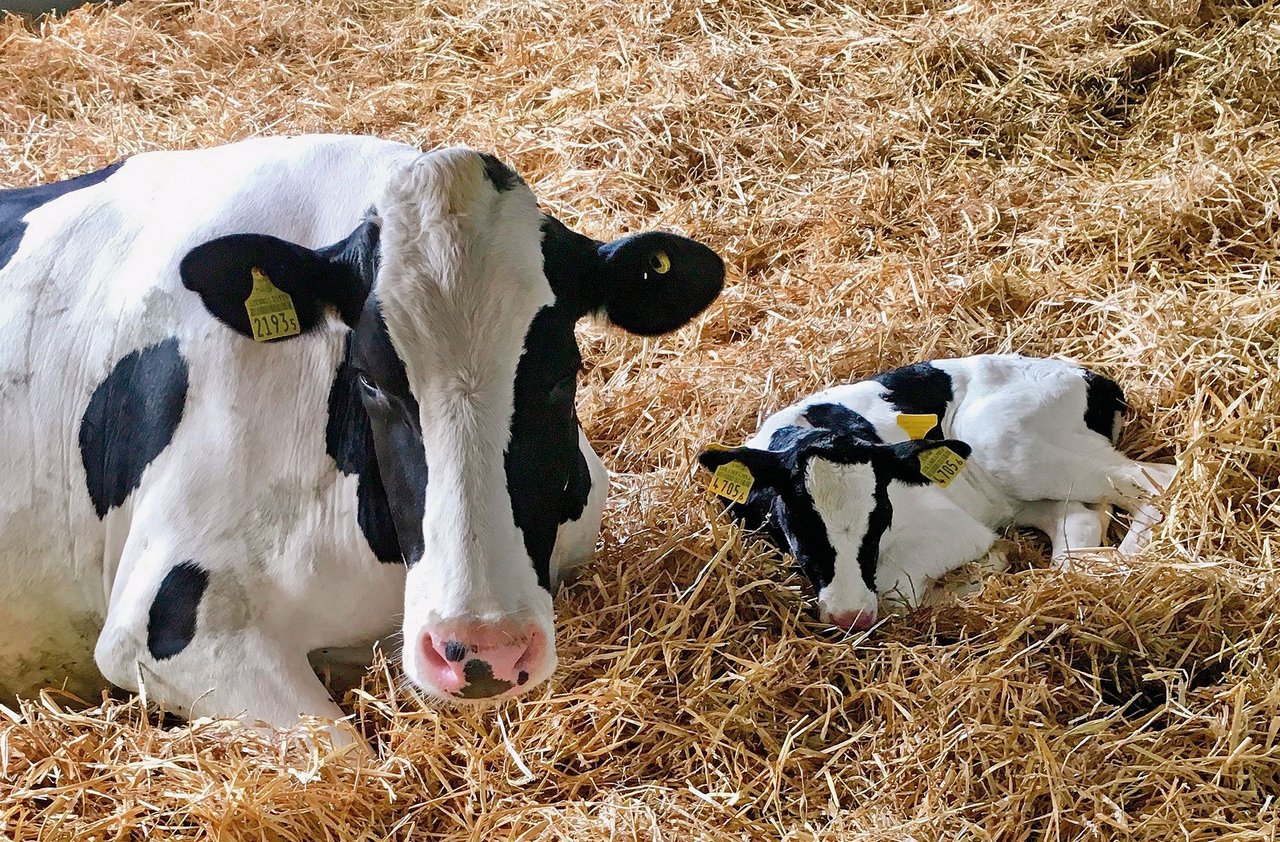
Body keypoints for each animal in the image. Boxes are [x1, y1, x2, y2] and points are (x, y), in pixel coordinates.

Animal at [698, 355, 1176, 630]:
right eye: (800, 526)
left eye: (881, 518)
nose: (851, 616)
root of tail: (1092, 377)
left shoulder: (950, 527)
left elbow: (895, 591)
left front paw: (981, 569)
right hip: (1008, 489)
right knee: (1078, 517)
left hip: (1006, 444)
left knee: (1159, 477)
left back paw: (1127, 563)